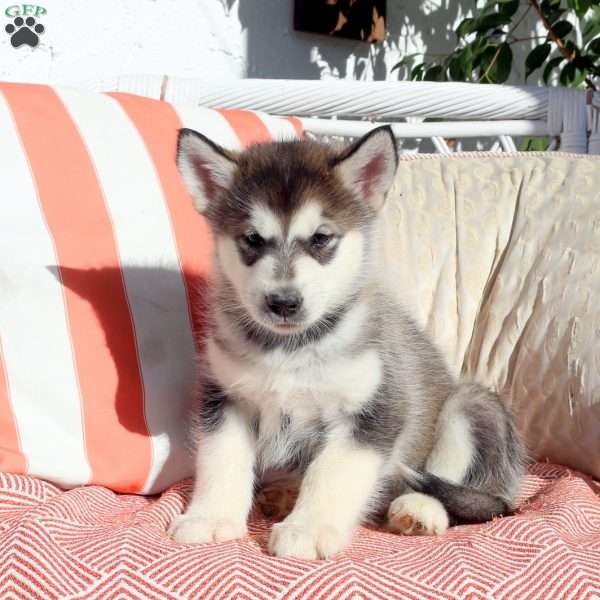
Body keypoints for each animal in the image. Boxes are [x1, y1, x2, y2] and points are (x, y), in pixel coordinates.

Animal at [169, 127, 524, 564]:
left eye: (321, 238)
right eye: (251, 239)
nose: (283, 302)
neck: (291, 349)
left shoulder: (375, 409)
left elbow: (332, 471)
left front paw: (308, 528)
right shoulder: (226, 399)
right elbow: (222, 459)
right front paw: (211, 516)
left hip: (472, 407)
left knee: (455, 488)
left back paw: (419, 510)